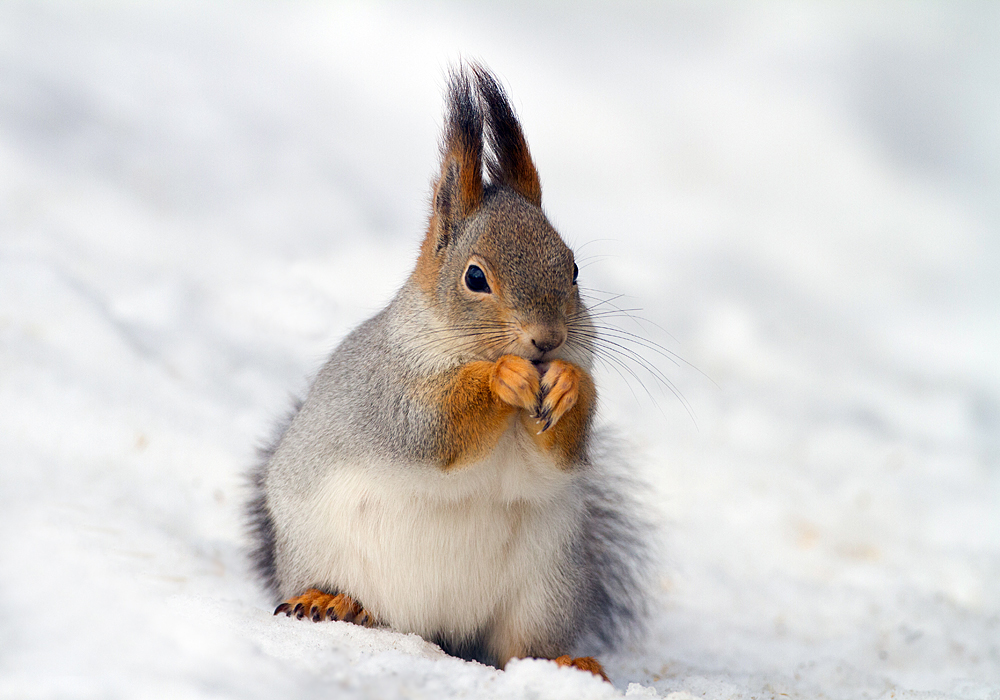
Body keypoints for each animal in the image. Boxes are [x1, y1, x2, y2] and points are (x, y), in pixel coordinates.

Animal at [247, 63, 652, 680]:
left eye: (574, 269)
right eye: (475, 278)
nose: (548, 341)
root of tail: (436, 630)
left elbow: (561, 453)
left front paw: (568, 384)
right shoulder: (390, 389)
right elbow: (433, 428)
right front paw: (501, 377)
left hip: (546, 586)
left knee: (521, 648)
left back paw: (566, 663)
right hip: (319, 545)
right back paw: (330, 599)